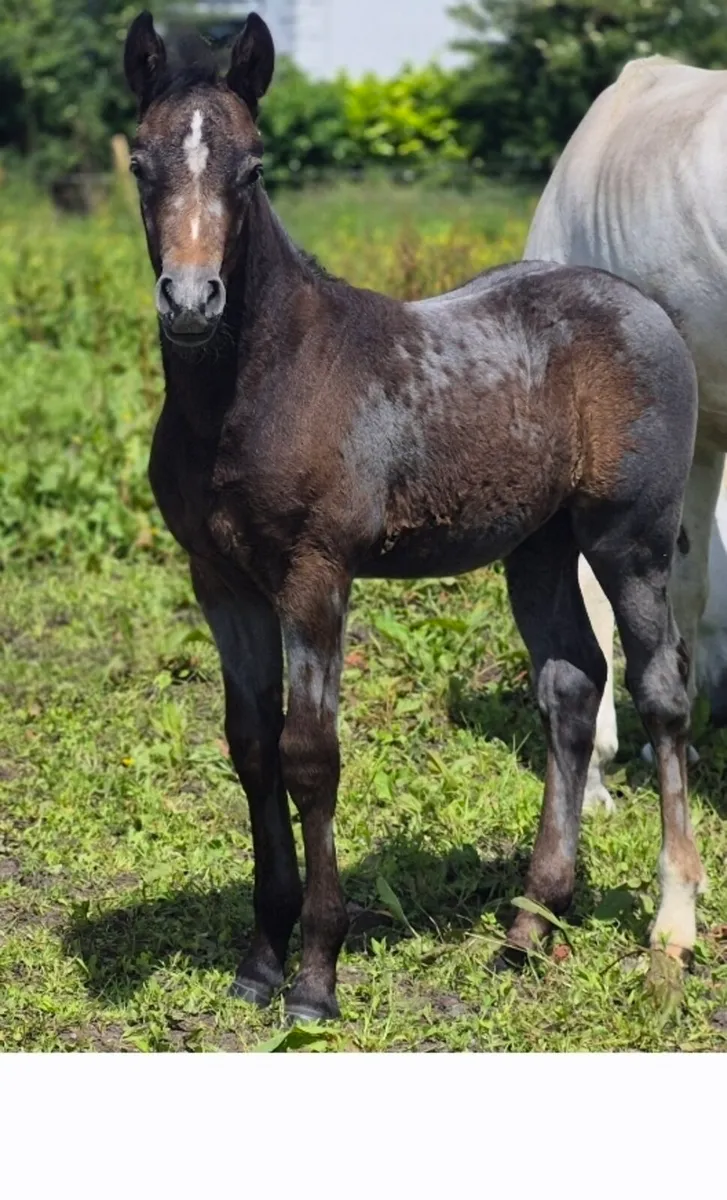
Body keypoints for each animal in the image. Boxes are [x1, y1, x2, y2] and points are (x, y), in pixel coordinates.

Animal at [124, 12, 702, 1022]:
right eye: (142, 164)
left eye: (252, 168)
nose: (192, 303)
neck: (256, 386)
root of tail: (640, 304)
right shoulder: (222, 581)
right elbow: (250, 748)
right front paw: (260, 961)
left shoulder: (316, 575)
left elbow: (309, 755)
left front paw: (315, 976)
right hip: (537, 548)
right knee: (569, 685)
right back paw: (528, 926)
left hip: (627, 541)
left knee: (659, 691)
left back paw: (671, 931)